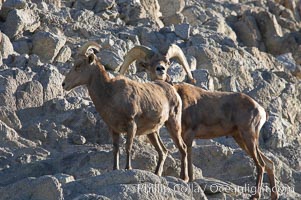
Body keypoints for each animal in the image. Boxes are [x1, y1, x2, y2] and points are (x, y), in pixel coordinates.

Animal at [61, 41, 188, 181]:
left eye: (78, 66)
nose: (64, 84)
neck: (110, 94)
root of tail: (171, 89)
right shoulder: (113, 129)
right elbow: (116, 149)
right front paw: (115, 168)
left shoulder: (131, 125)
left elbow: (128, 147)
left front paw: (128, 168)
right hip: (152, 132)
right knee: (163, 151)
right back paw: (157, 174)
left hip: (173, 124)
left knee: (183, 148)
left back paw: (184, 178)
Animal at [118, 45, 278, 200]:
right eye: (150, 64)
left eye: (167, 62)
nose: (160, 69)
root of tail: (260, 110)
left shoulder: (188, 135)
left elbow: (186, 153)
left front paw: (186, 178)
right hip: (241, 139)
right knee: (269, 164)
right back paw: (273, 195)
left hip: (248, 136)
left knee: (261, 164)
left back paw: (255, 195)